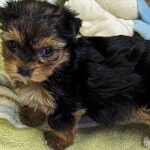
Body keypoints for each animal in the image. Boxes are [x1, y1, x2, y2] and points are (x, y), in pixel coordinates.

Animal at [1, 0, 150, 150]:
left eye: (47, 51)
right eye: (12, 44)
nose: (24, 70)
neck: (58, 68)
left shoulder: (67, 102)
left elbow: (61, 124)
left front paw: (56, 141)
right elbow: (38, 101)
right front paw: (32, 116)